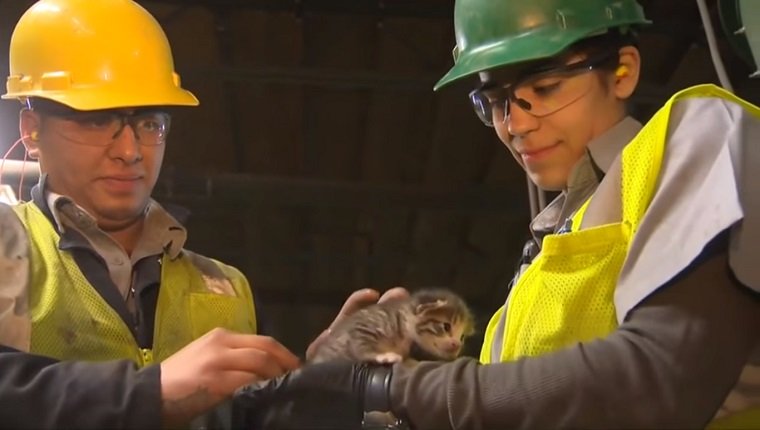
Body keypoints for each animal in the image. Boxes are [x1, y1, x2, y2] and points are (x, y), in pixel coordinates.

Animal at [308, 288, 476, 364]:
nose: (456, 345)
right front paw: (384, 356)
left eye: (462, 337)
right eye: (446, 326)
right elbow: (362, 347)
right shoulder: (363, 327)